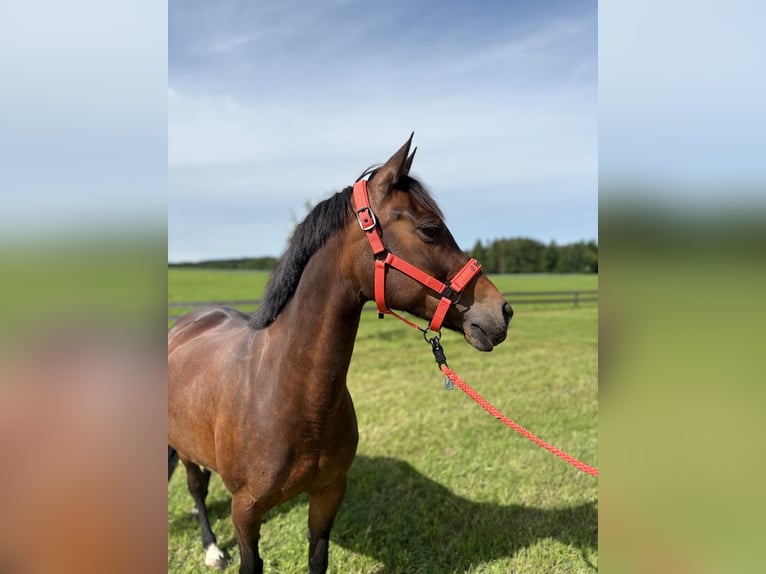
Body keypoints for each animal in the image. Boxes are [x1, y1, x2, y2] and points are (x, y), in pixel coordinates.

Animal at [167, 135, 513, 574]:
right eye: (431, 229)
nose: (502, 311)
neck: (286, 395)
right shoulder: (245, 511)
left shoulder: (328, 493)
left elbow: (318, 558)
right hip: (185, 451)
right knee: (196, 489)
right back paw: (212, 548)